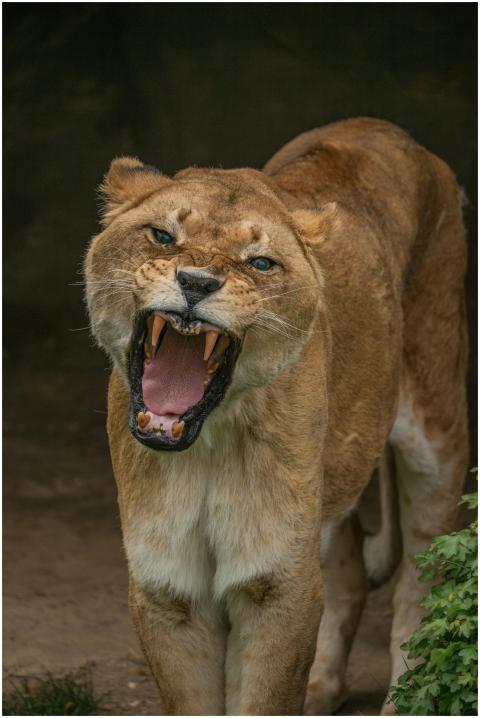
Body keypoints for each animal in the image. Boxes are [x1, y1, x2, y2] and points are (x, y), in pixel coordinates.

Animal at [85, 117, 468, 715]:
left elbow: (265, 694)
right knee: (349, 569)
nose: (196, 283)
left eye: (260, 262)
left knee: (421, 581)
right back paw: (321, 690)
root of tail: (391, 130)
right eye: (163, 236)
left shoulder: (277, 585)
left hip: (437, 437)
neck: (208, 443)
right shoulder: (166, 589)